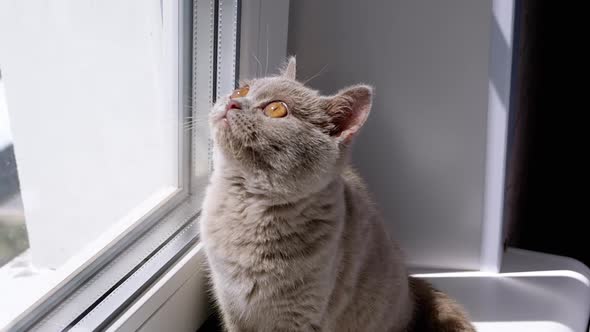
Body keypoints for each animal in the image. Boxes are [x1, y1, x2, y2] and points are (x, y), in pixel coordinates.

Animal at [201, 57, 478, 332]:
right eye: (242, 90)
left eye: (276, 109)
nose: (233, 101)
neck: (246, 205)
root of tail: (410, 286)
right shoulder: (232, 307)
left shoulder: (301, 316)